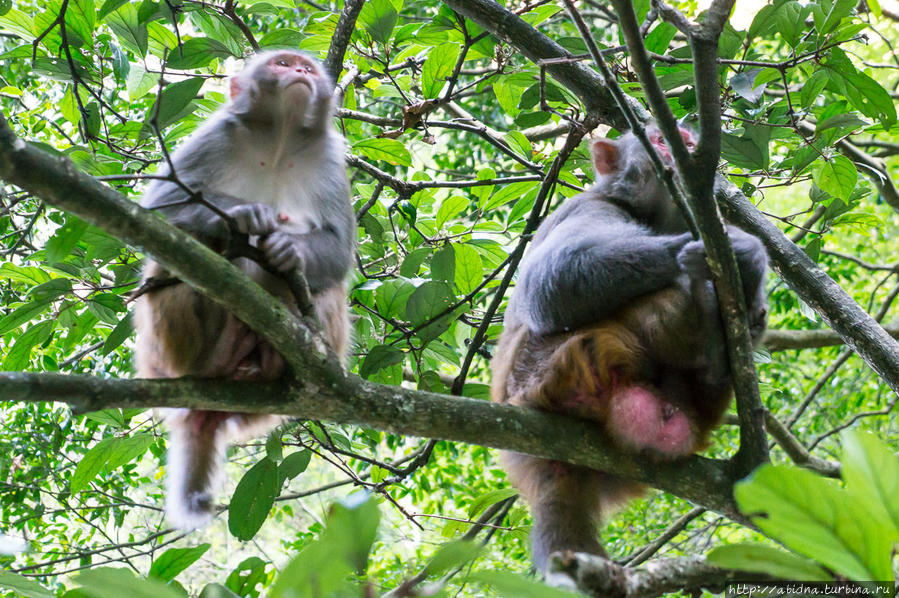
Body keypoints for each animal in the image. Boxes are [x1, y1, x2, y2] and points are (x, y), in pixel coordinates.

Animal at [135, 50, 354, 528]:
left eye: (307, 67)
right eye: (283, 63)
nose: (301, 72)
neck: (279, 141)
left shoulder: (330, 161)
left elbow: (338, 249)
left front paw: (288, 248)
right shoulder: (215, 135)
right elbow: (159, 211)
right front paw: (242, 215)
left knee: (325, 285)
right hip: (164, 352)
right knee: (188, 258)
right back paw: (212, 354)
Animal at [488, 127, 768, 580]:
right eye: (657, 137)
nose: (686, 146)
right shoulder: (587, 205)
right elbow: (554, 280)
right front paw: (741, 250)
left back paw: (714, 361)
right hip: (551, 365)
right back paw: (703, 308)